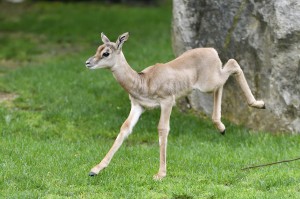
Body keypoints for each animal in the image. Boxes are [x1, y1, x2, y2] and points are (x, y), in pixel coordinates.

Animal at [84, 33, 264, 180]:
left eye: (106, 53)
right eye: (98, 49)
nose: (87, 62)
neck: (144, 81)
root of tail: (211, 50)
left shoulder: (167, 102)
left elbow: (162, 129)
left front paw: (160, 174)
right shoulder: (138, 106)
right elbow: (125, 128)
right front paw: (95, 169)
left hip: (208, 83)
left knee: (233, 64)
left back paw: (259, 104)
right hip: (209, 84)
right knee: (221, 84)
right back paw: (221, 127)